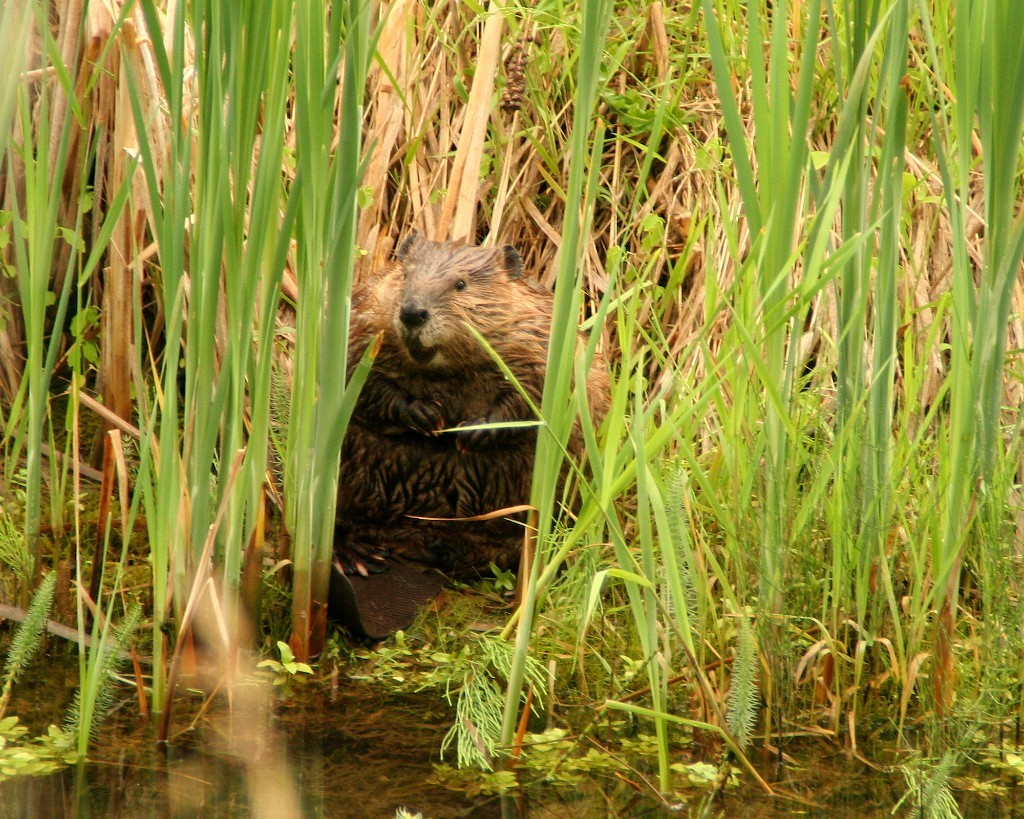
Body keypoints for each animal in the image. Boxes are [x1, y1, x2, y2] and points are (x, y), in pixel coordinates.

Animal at [333, 233, 606, 577]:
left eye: (461, 284)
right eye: (405, 276)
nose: (412, 312)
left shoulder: (538, 338)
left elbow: (537, 395)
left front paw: (470, 433)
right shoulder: (363, 318)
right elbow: (358, 378)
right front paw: (427, 416)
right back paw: (358, 556)